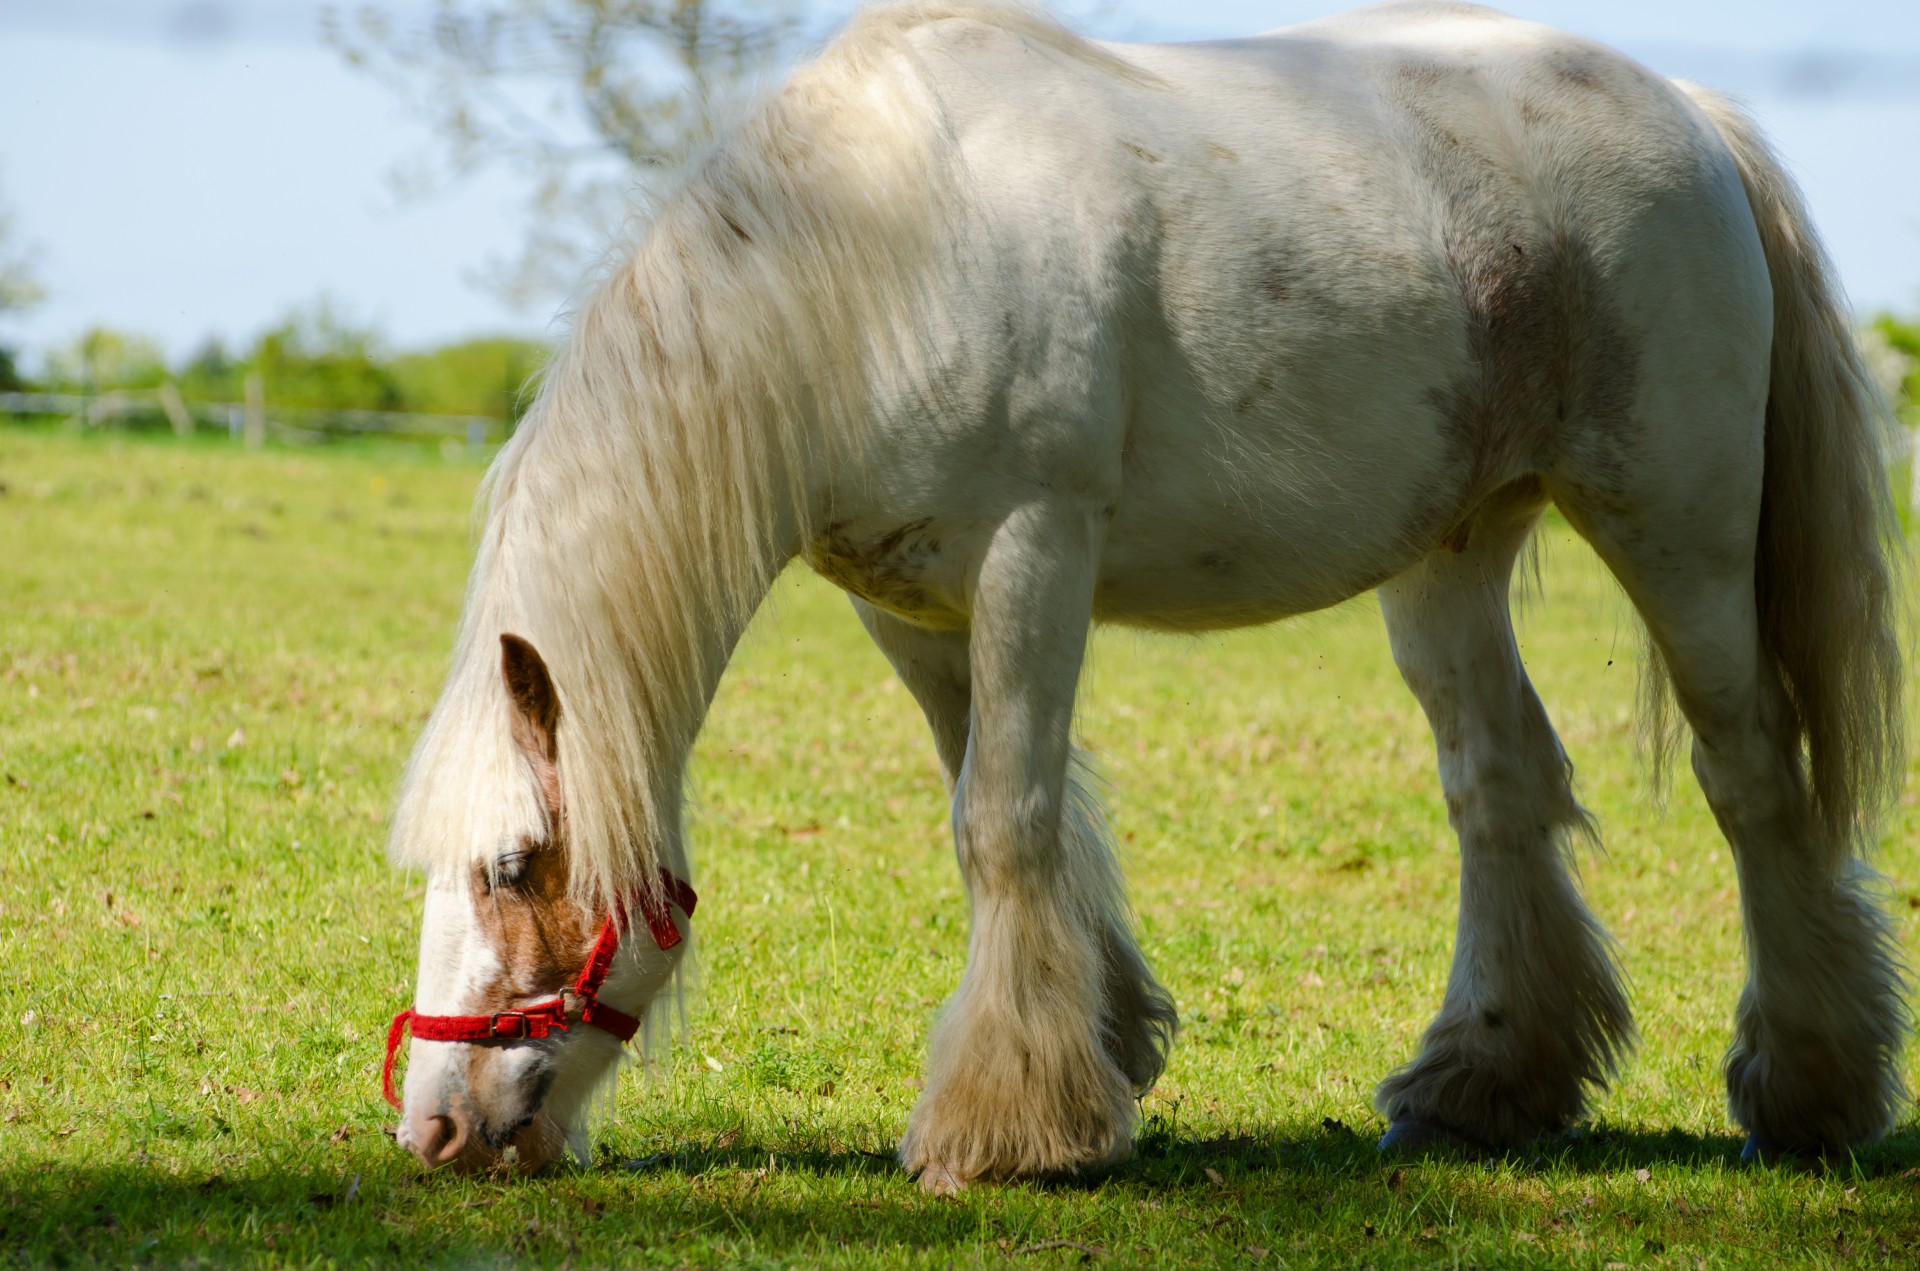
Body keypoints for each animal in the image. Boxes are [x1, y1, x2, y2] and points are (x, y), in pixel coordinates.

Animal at [378, 2, 1904, 1198]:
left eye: (513, 864)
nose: (435, 1128)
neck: (876, 265)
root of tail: (1693, 114)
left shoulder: (1034, 553)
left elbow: (1004, 818)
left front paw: (1000, 1128)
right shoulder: (913, 611)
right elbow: (1014, 815)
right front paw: (1101, 1045)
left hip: (1677, 532)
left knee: (1751, 777)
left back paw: (1811, 1090)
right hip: (1451, 558)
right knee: (1501, 785)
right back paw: (1486, 1084)